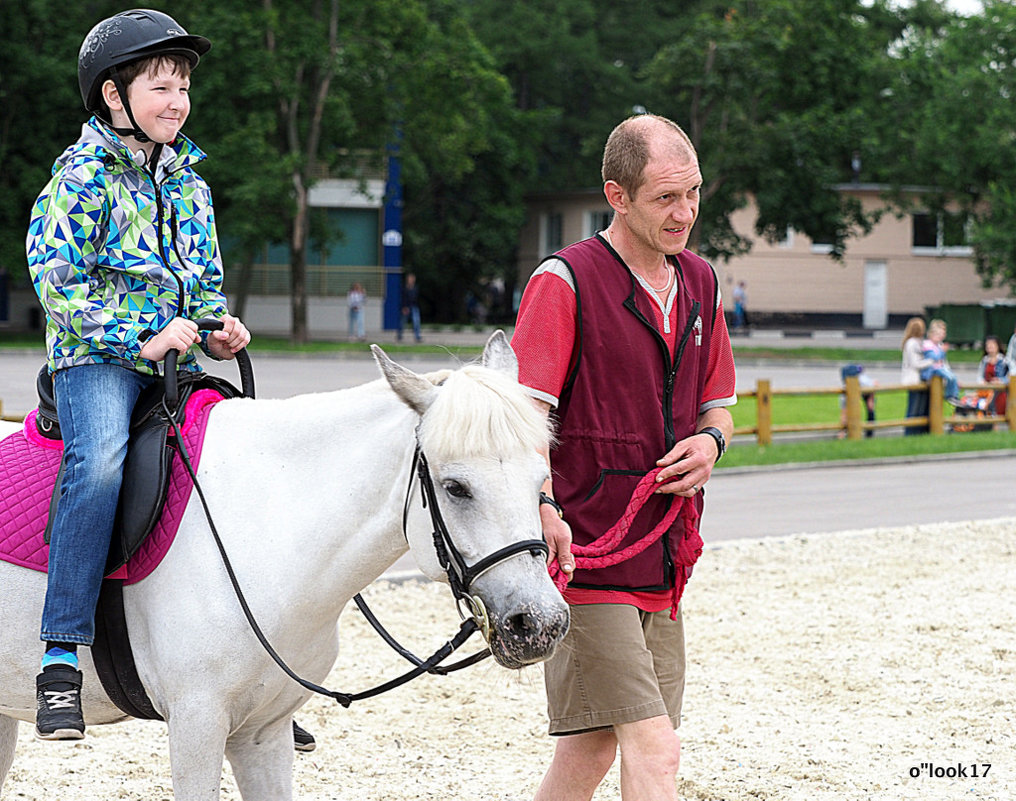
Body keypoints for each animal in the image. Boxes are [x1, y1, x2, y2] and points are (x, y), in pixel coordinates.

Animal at [0, 331, 573, 801]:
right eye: (455, 488)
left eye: (540, 479)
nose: (539, 622)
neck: (266, 523)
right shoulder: (196, 724)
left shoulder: (264, 733)